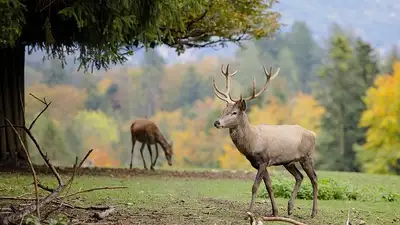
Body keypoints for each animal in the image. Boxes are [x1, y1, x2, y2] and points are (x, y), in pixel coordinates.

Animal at [212, 64, 318, 218]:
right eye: (223, 110)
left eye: (234, 113)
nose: (217, 122)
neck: (252, 142)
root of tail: (314, 134)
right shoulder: (259, 164)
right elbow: (269, 186)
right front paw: (274, 212)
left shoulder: (263, 160)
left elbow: (255, 186)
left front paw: (249, 212)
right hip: (288, 161)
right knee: (300, 176)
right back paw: (290, 208)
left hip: (307, 156)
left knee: (314, 178)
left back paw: (313, 212)